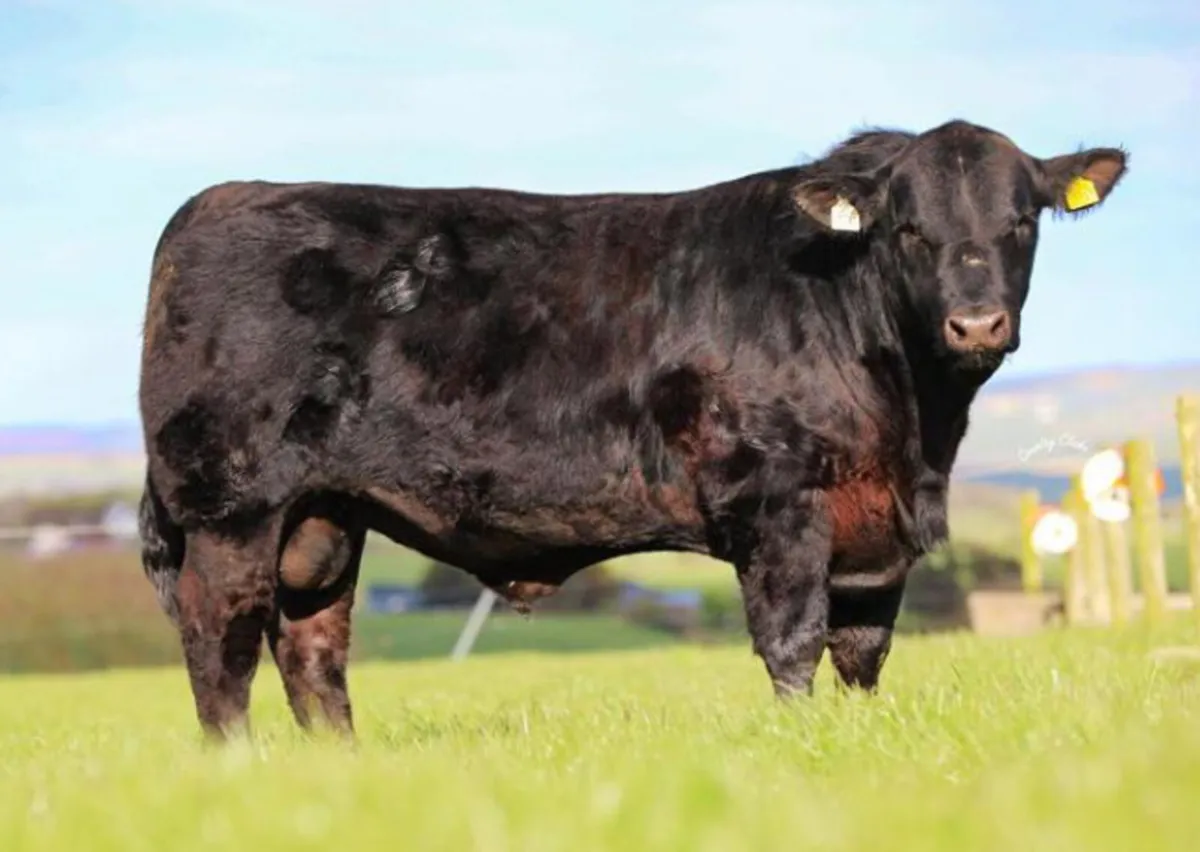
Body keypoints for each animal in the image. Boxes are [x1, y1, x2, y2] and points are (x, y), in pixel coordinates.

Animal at [137, 119, 1127, 740]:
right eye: (910, 229)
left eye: (1022, 221)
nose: (976, 323)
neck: (915, 427)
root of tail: (214, 203)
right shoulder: (777, 500)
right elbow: (793, 640)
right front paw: (802, 746)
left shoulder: (874, 528)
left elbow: (863, 652)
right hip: (231, 505)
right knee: (221, 639)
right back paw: (236, 763)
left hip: (323, 519)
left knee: (312, 648)